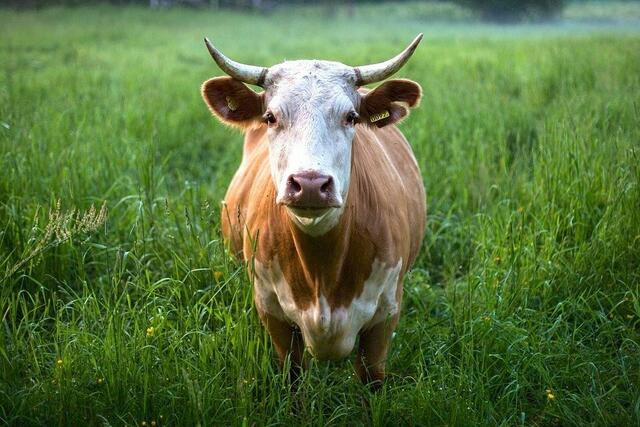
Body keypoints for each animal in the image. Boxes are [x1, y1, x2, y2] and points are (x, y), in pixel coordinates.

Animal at [200, 34, 426, 389]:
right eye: (270, 117)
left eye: (351, 117)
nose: (309, 183)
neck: (323, 271)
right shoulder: (273, 314)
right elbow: (292, 376)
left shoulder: (385, 317)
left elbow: (371, 380)